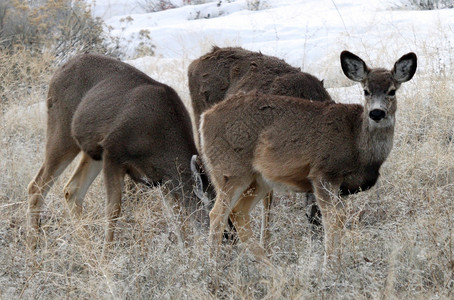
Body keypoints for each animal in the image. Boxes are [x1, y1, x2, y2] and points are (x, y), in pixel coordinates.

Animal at [27, 52, 212, 250]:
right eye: (213, 212)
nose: (224, 242)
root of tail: (58, 71)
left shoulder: (162, 179)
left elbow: (177, 218)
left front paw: (185, 251)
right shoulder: (113, 152)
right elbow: (113, 209)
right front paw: (108, 252)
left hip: (92, 151)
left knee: (72, 190)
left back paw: (87, 247)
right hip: (62, 129)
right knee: (36, 186)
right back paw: (33, 248)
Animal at [200, 51, 416, 262]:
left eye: (392, 91)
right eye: (366, 90)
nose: (376, 113)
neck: (357, 143)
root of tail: (205, 117)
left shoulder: (342, 188)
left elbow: (341, 218)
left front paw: (338, 263)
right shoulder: (323, 174)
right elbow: (332, 219)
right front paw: (329, 266)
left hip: (258, 179)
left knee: (238, 213)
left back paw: (270, 267)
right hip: (230, 170)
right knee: (217, 214)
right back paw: (214, 266)